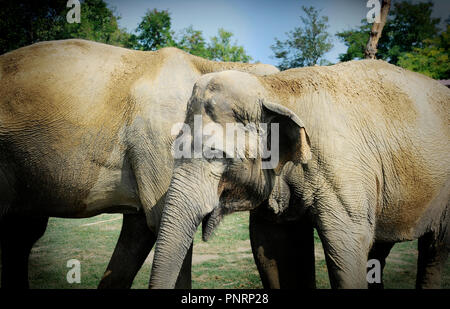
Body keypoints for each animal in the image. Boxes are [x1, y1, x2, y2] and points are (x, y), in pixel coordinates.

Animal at [150, 59, 450, 288]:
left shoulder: (342, 172)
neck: (274, 88)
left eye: (216, 154)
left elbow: (348, 245)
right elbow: (272, 248)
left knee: (436, 249)